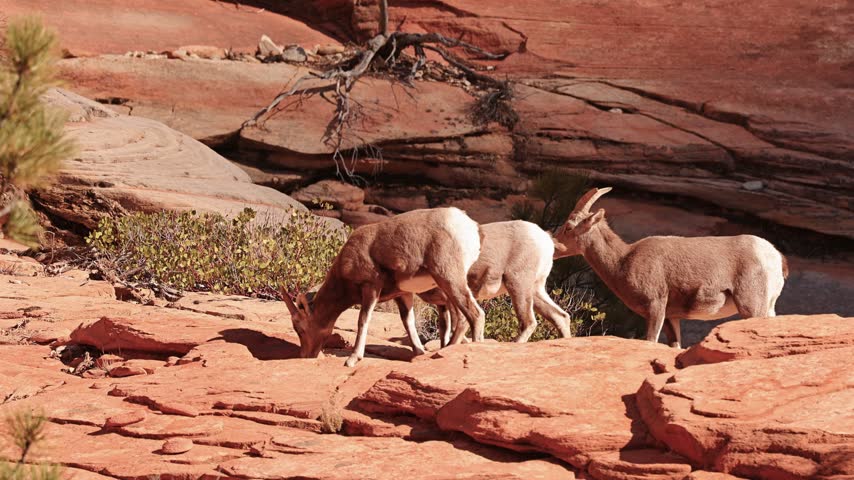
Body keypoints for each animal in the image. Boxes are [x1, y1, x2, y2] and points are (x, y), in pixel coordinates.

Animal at [282, 207, 485, 367]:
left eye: (299, 328)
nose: (305, 356)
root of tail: (468, 226)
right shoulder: (403, 294)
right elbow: (408, 322)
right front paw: (419, 353)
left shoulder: (370, 287)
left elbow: (363, 320)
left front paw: (352, 360)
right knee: (462, 317)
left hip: (449, 278)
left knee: (475, 315)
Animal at [418, 220, 573, 345]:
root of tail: (546, 238)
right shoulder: (442, 305)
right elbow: (445, 332)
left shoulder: (451, 298)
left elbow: (457, 327)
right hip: (535, 290)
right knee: (560, 317)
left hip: (518, 284)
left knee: (529, 322)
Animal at [552, 187, 789, 347]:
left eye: (569, 227)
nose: (552, 245)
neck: (623, 260)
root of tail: (775, 257)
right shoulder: (671, 318)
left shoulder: (655, 308)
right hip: (767, 307)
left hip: (752, 307)